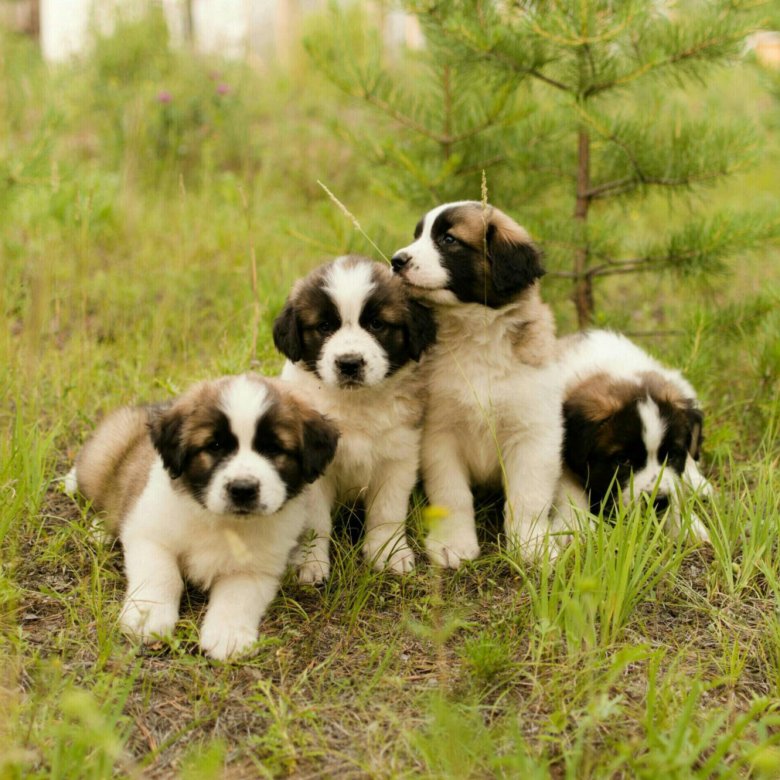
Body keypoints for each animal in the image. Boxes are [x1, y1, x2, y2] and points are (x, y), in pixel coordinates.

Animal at [64, 374, 338, 660]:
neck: (221, 522)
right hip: (104, 456)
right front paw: (147, 615)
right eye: (215, 446)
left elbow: (237, 596)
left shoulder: (258, 567)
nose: (243, 489)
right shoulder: (148, 534)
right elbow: (163, 575)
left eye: (273, 449)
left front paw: (228, 635)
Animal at [272, 253, 436, 580]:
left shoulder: (398, 458)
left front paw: (389, 552)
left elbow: (387, 511)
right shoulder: (314, 470)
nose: (349, 363)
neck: (356, 403)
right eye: (324, 326)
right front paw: (311, 562)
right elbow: (315, 522)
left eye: (377, 324)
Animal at [390, 201, 568, 568]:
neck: (477, 336)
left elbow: (528, 496)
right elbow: (452, 495)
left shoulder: (533, 435)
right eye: (417, 236)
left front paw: (531, 544)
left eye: (448, 240)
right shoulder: (440, 435)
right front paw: (454, 544)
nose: (396, 260)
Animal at [556, 330, 712, 536]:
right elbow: (569, 489)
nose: (658, 501)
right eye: (623, 460)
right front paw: (575, 526)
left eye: (671, 456)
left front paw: (687, 526)